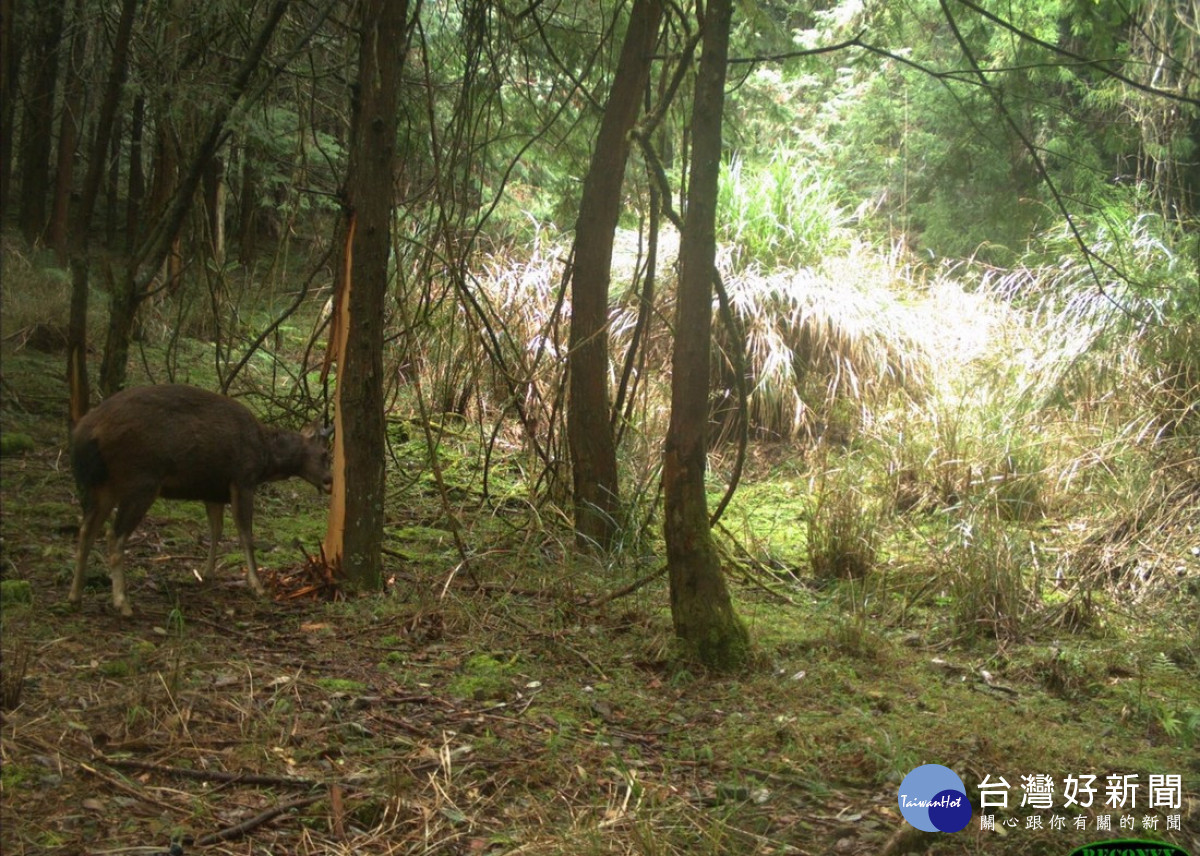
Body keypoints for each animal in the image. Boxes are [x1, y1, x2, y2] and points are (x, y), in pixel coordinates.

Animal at [69, 384, 333, 616]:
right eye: (325, 454)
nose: (330, 480)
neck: (266, 457)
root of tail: (85, 433)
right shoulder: (243, 479)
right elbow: (246, 535)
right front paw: (257, 586)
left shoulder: (213, 490)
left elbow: (216, 530)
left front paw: (207, 573)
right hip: (141, 479)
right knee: (113, 535)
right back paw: (122, 604)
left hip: (102, 485)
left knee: (87, 530)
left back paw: (75, 596)